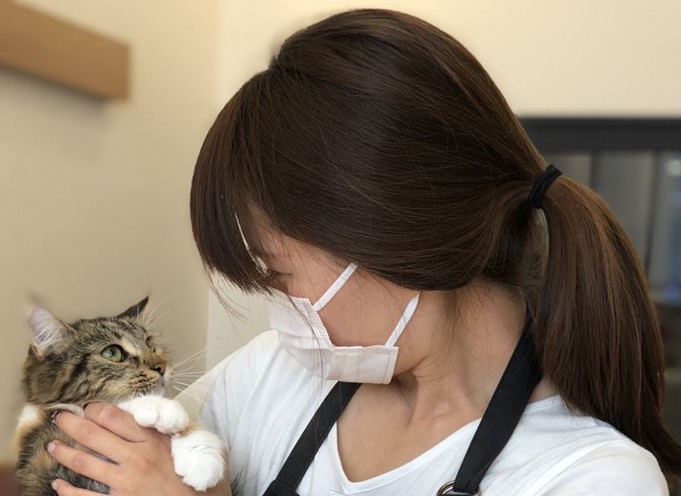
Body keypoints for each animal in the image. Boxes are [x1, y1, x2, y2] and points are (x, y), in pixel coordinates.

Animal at [14, 298, 225, 495]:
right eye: (112, 353)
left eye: (149, 343)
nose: (162, 367)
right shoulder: (42, 449)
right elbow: (102, 405)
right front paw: (162, 408)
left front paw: (201, 458)